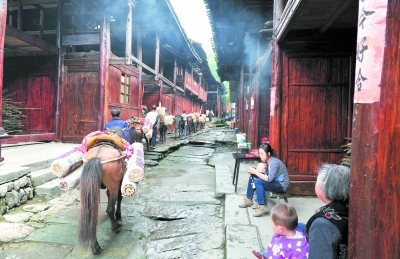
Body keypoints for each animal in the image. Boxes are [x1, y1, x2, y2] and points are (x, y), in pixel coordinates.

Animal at [78, 127, 126, 255]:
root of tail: (97, 158)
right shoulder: (118, 184)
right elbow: (119, 199)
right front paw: (118, 217)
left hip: (91, 188)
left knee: (92, 213)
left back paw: (95, 247)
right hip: (113, 186)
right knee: (110, 208)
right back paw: (115, 227)